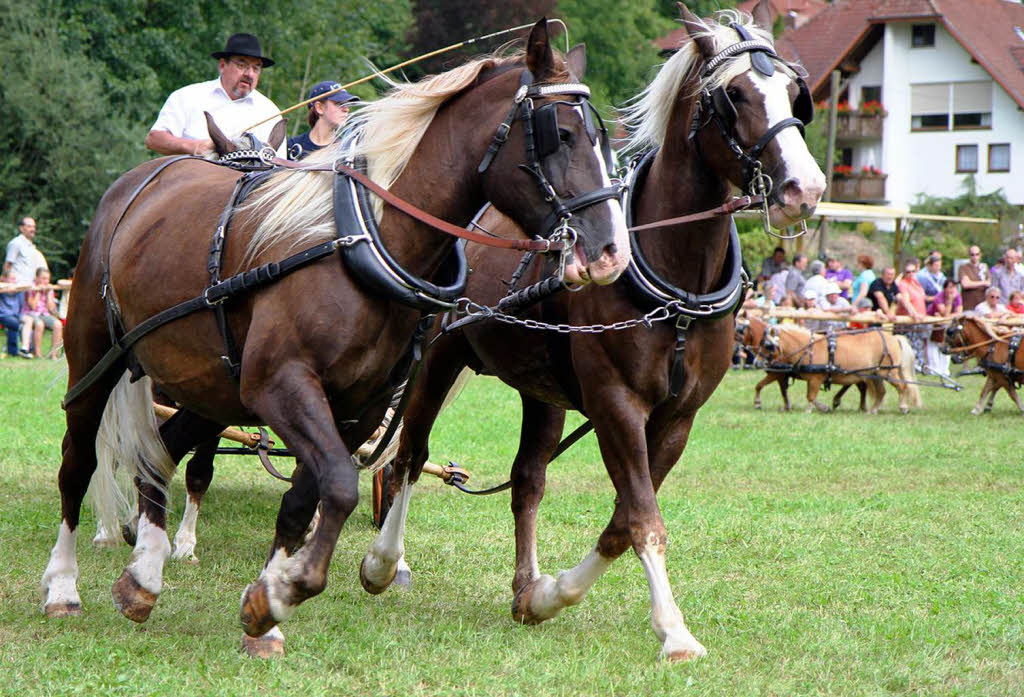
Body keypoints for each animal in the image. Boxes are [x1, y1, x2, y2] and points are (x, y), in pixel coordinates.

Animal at [39, 19, 626, 655]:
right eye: (560, 134)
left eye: (603, 139)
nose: (610, 251)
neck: (367, 239)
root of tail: (137, 182)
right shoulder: (281, 385)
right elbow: (341, 485)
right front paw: (287, 590)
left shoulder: (356, 408)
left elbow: (307, 498)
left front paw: (266, 605)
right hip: (97, 359)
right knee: (78, 464)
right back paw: (64, 586)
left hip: (207, 383)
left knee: (159, 452)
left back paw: (144, 573)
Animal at [356, 2, 827, 659]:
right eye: (734, 94)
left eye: (792, 92)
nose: (804, 189)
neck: (676, 282)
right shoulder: (616, 404)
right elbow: (643, 518)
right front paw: (674, 632)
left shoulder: (677, 419)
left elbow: (622, 521)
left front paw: (549, 596)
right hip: (438, 357)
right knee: (406, 454)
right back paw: (383, 563)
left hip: (541, 390)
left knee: (527, 480)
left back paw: (525, 583)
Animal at [745, 315, 921, 413]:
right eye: (761, 343)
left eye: (768, 345)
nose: (756, 362)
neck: (808, 348)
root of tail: (894, 337)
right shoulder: (802, 377)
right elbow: (802, 394)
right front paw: (822, 407)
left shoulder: (814, 378)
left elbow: (810, 396)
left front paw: (809, 410)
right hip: (874, 373)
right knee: (880, 392)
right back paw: (872, 410)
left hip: (887, 371)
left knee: (902, 386)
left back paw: (903, 407)